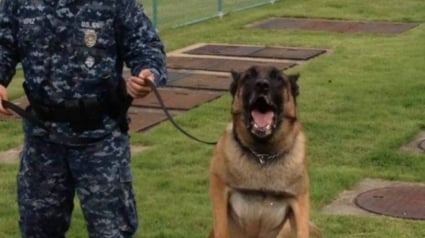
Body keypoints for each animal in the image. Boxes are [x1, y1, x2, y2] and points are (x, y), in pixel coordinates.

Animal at [207, 65, 320, 238]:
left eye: (278, 78)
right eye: (248, 76)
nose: (262, 85)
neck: (263, 155)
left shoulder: (299, 200)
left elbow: (302, 230)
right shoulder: (218, 187)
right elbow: (222, 227)